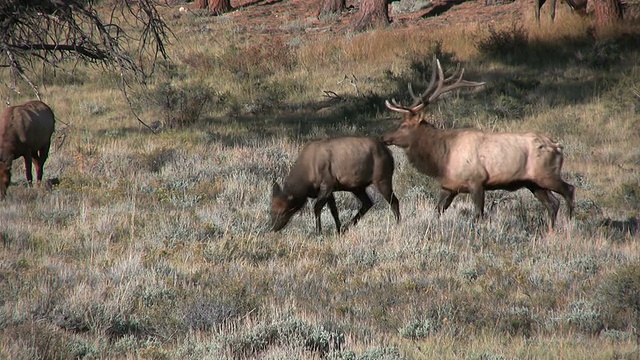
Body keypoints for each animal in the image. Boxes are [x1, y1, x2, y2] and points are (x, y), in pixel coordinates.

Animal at [270, 136, 400, 233]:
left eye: (283, 211)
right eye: (271, 210)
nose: (273, 228)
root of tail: (389, 152)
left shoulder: (327, 184)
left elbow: (317, 208)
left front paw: (319, 232)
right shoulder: (330, 189)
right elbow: (334, 211)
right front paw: (338, 229)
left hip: (382, 178)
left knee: (394, 201)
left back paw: (398, 224)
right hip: (357, 187)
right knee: (368, 203)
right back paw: (347, 226)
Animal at [380, 58, 576, 229]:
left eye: (404, 125)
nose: (383, 137)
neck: (442, 159)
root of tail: (558, 147)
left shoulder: (477, 181)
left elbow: (478, 214)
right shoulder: (450, 186)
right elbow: (438, 210)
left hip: (547, 174)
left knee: (569, 190)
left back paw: (570, 224)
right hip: (534, 182)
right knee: (552, 203)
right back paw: (551, 230)